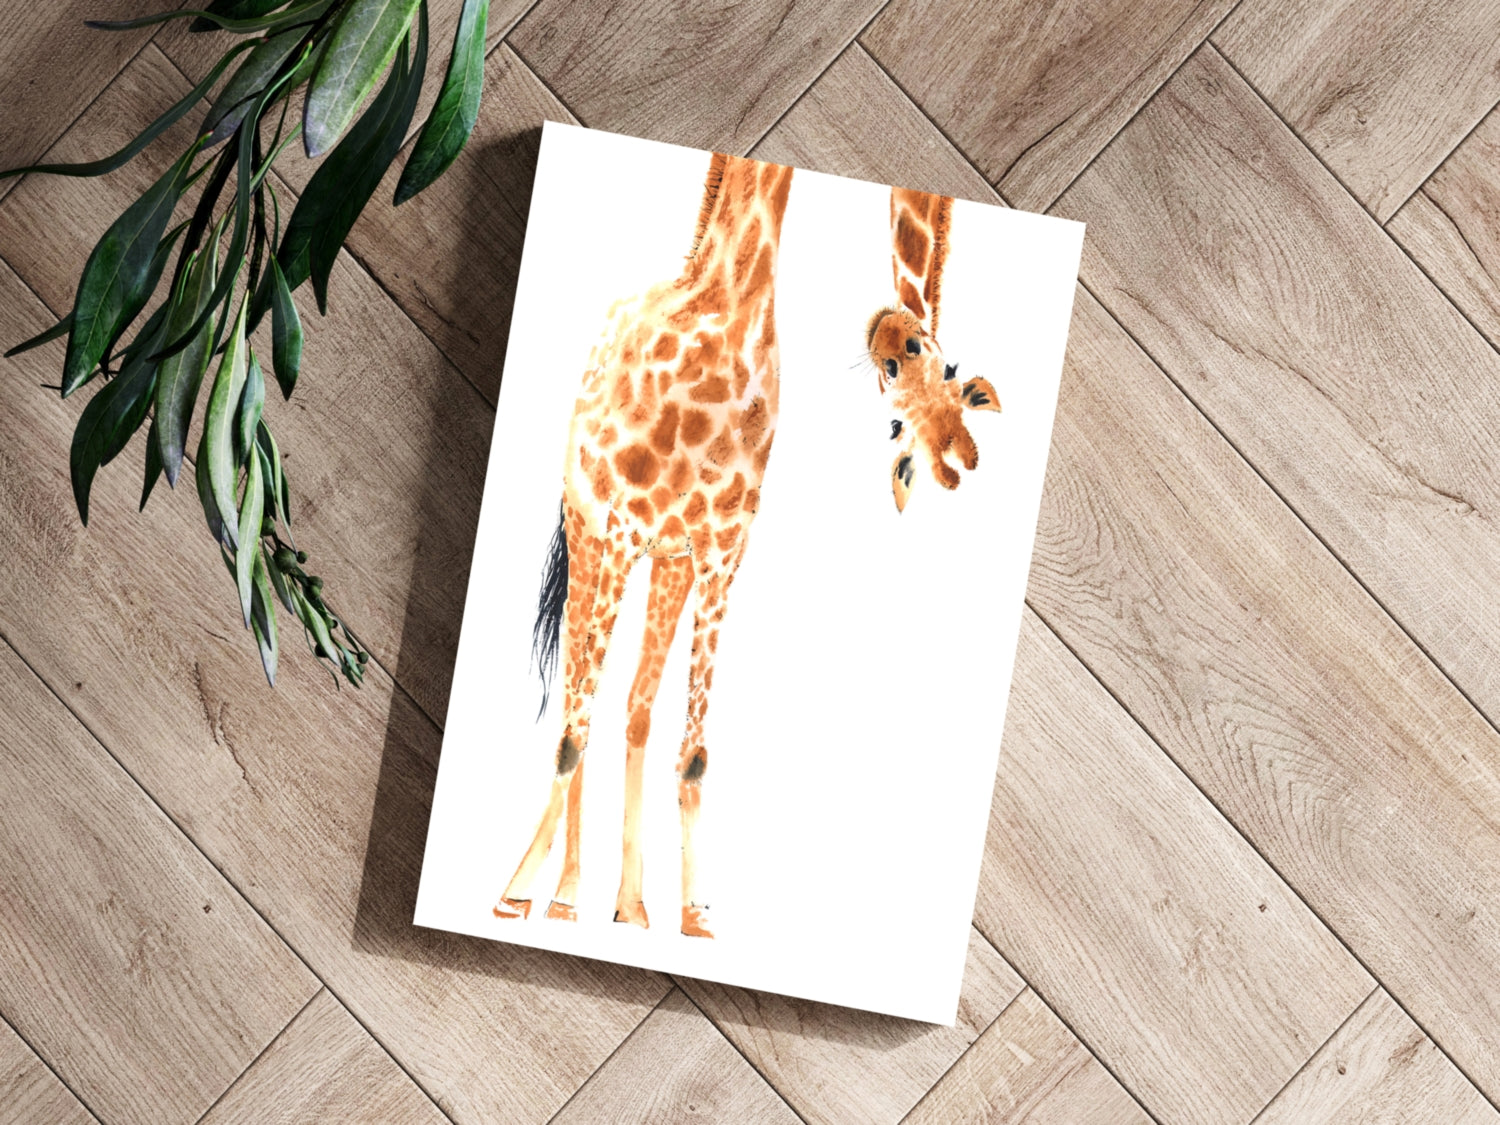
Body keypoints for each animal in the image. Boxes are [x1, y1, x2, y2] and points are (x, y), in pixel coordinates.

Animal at [494, 152, 792, 938]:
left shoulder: (720, 554)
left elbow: (694, 751)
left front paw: (695, 910)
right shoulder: (624, 529)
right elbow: (574, 725)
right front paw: (518, 890)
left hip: (666, 562)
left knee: (628, 706)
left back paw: (625, 903)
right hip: (590, 536)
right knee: (577, 696)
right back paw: (559, 892)